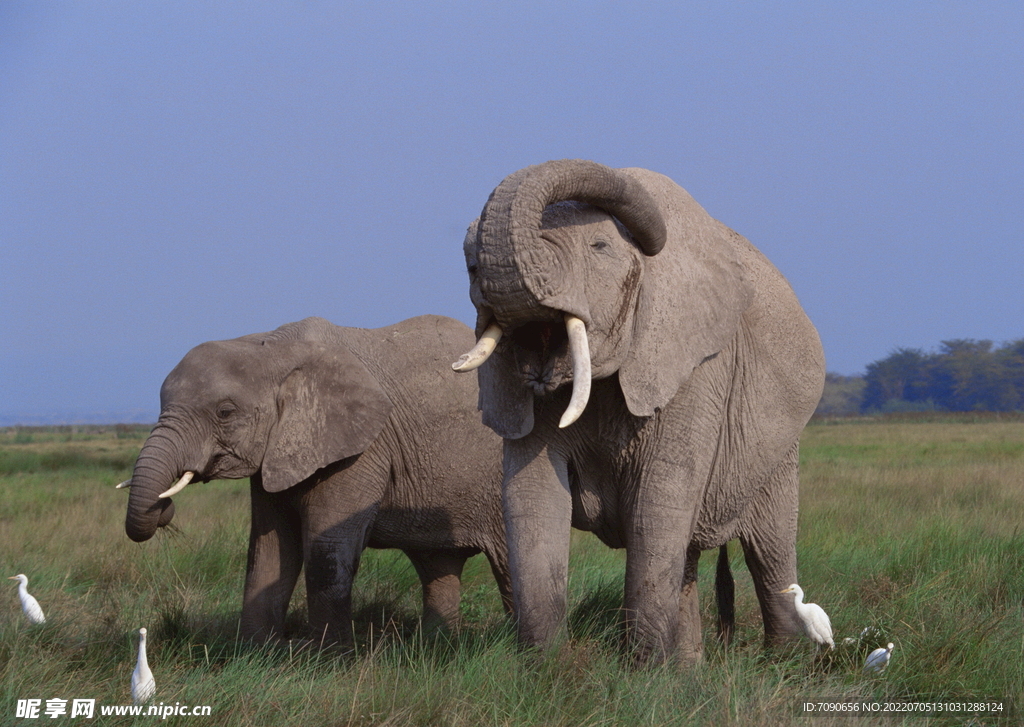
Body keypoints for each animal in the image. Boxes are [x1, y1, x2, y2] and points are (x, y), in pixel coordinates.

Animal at [122, 315, 512, 647]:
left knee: (507, 560)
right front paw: (255, 654)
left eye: (225, 412)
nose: (164, 508)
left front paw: (329, 659)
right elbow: (269, 548)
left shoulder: (361, 445)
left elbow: (326, 547)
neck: (271, 346)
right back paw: (434, 646)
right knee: (437, 565)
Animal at [456, 159, 823, 667]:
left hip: (778, 448)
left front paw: (643, 671)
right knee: (687, 555)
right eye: (468, 260)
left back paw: (782, 663)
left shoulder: (696, 370)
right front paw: (545, 669)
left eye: (600, 247)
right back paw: (687, 670)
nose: (477, 267)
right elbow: (532, 498)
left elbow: (657, 500)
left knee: (768, 550)